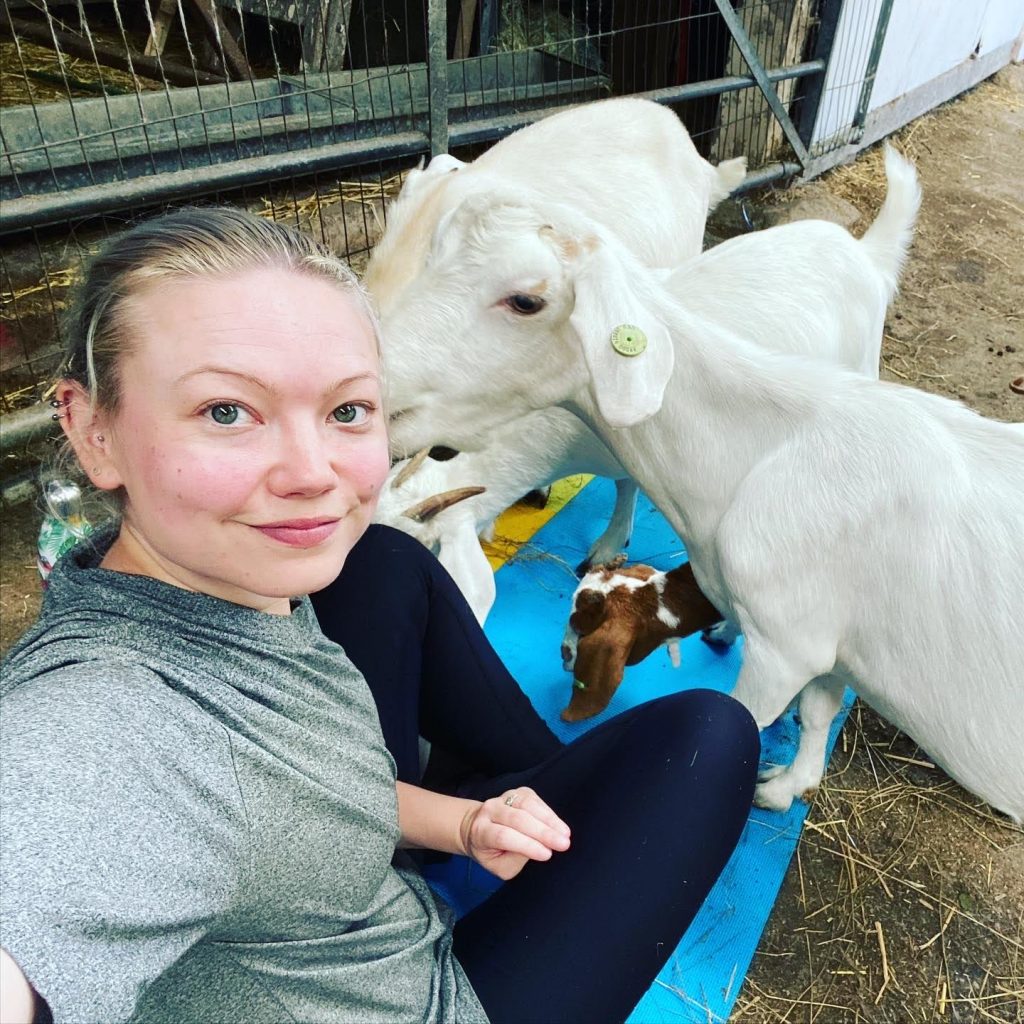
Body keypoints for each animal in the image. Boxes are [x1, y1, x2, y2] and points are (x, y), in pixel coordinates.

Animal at [382, 148, 1024, 827]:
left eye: (526, 300)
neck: (758, 447)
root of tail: (857, 247)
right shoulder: (835, 639)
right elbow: (820, 708)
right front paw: (790, 785)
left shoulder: (787, 647)